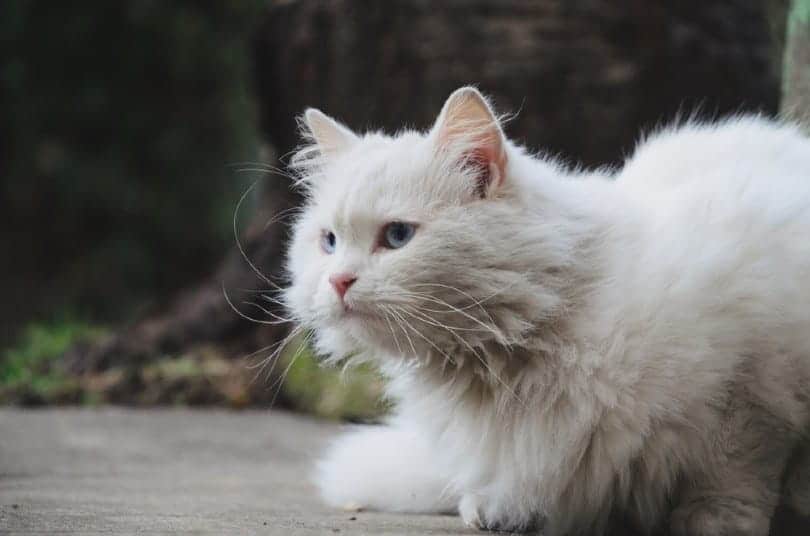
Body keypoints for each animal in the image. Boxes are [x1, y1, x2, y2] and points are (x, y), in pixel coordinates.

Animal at [280, 86, 808, 532]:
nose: (338, 281)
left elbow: (734, 474)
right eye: (329, 241)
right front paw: (499, 510)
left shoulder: (752, 381)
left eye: (397, 236)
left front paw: (716, 524)